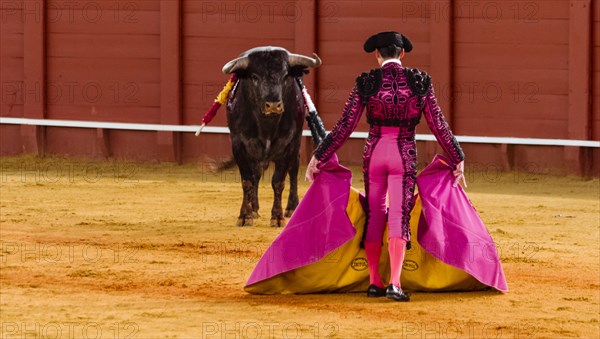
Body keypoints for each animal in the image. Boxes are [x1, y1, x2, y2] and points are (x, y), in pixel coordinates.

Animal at [221, 47, 322, 228]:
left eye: (285, 76)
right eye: (254, 77)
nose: (273, 105)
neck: (266, 124)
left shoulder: (289, 145)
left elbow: (278, 181)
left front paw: (277, 216)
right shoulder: (239, 145)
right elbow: (247, 180)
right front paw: (245, 215)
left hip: (295, 146)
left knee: (293, 171)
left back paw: (291, 207)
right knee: (255, 174)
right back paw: (254, 209)